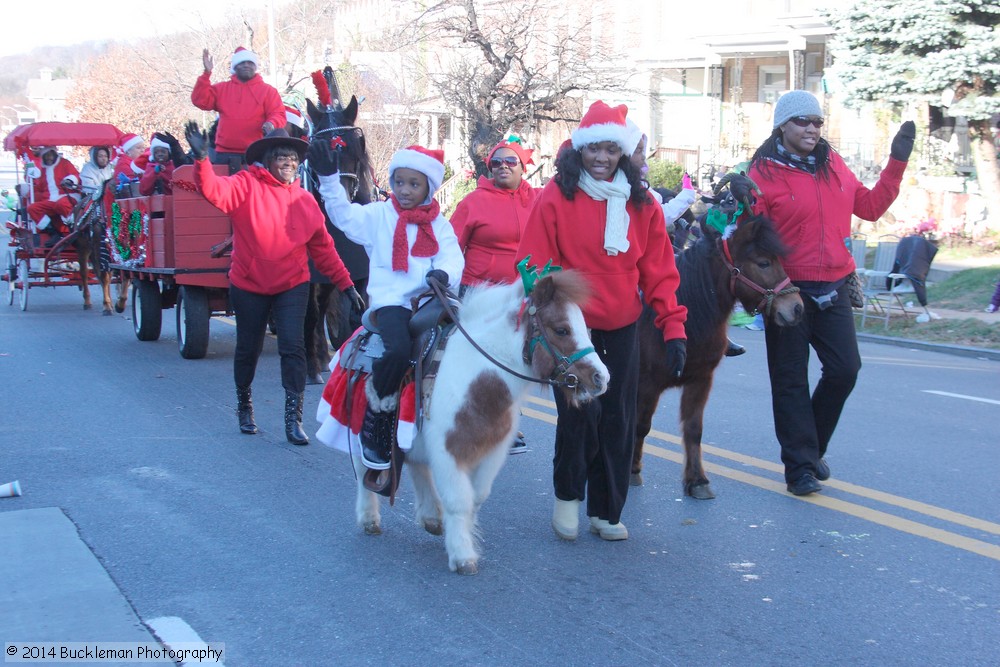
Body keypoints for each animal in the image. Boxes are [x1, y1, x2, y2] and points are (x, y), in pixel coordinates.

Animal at [324, 270, 612, 576]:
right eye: (561, 330)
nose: (601, 378)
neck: (475, 379)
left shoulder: (491, 454)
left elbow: (475, 498)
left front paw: (463, 536)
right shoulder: (449, 453)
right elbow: (458, 500)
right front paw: (463, 555)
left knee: (417, 467)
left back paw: (430, 517)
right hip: (358, 430)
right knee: (363, 470)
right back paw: (369, 518)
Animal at [632, 211, 804, 498]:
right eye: (764, 263)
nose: (797, 308)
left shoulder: (701, 380)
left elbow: (693, 430)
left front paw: (697, 480)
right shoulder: (646, 385)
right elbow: (640, 425)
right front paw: (632, 470)